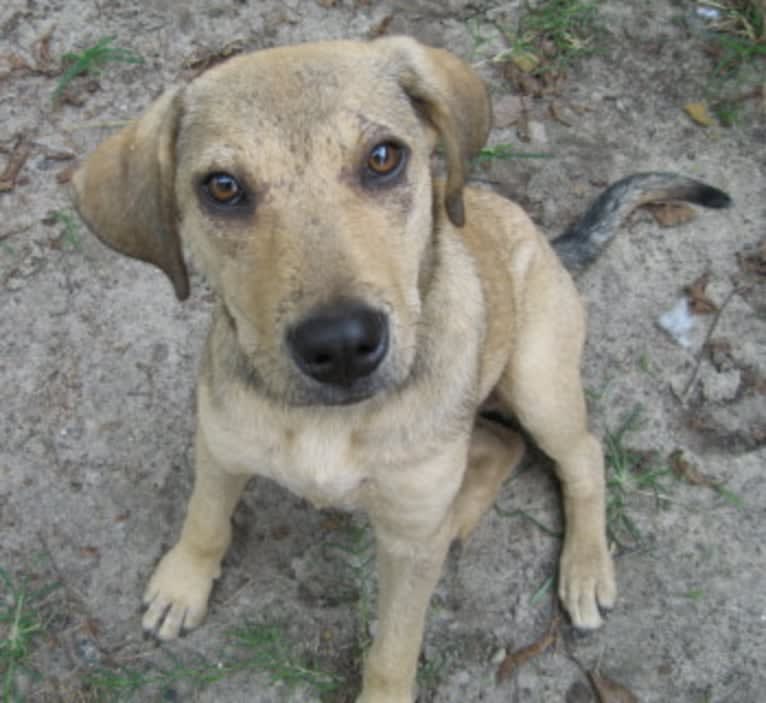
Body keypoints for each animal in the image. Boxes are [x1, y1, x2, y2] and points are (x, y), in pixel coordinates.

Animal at [72, 38, 732, 703]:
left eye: (383, 157)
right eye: (223, 188)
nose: (341, 344)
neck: (330, 422)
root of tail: (548, 239)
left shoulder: (408, 548)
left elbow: (395, 646)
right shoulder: (221, 444)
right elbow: (205, 517)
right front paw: (183, 582)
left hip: (536, 381)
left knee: (580, 455)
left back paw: (583, 565)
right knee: (501, 445)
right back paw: (462, 515)